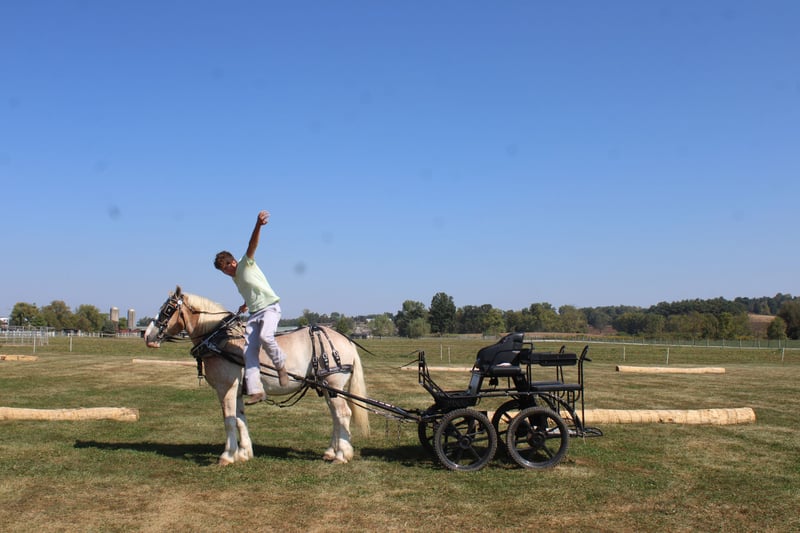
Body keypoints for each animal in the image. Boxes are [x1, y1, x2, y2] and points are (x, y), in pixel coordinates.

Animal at [143, 286, 369, 465]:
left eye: (168, 309)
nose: (147, 336)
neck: (220, 339)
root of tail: (345, 340)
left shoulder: (225, 387)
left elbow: (228, 419)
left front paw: (227, 455)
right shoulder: (237, 390)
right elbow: (240, 418)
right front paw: (243, 453)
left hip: (333, 384)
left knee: (343, 414)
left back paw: (342, 455)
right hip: (327, 387)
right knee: (336, 417)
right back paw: (331, 451)